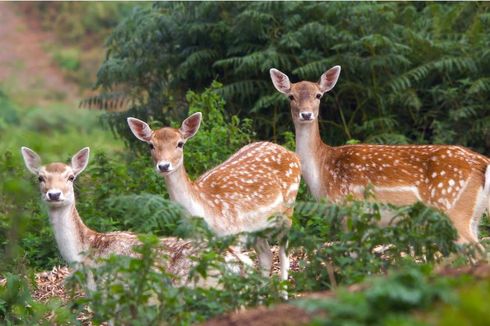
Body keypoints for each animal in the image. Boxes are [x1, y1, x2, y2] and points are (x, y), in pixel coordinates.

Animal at [127, 112, 302, 286]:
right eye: (151, 145)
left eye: (180, 143)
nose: (164, 166)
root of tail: (293, 155)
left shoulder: (234, 235)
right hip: (256, 227)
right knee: (266, 255)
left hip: (288, 208)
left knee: (283, 253)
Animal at [270, 65, 490, 244]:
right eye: (291, 96)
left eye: (318, 95)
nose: (306, 114)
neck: (323, 172)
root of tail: (483, 162)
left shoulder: (350, 209)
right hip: (474, 214)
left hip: (452, 206)